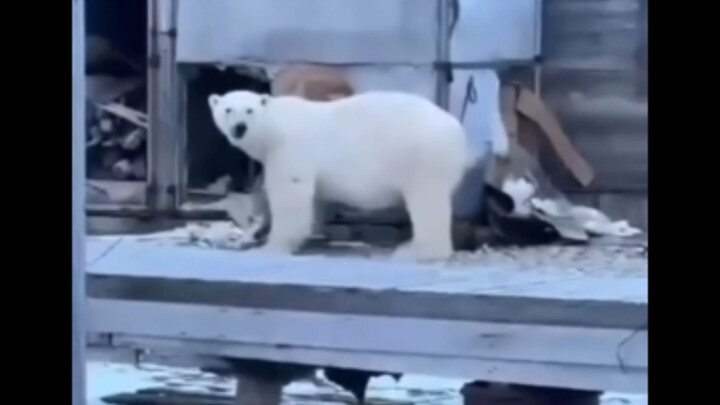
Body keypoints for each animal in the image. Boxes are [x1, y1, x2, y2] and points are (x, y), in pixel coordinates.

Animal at [208, 90, 476, 261]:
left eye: (249, 110)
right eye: (228, 109)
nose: (239, 128)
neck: (275, 126)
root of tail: (458, 131)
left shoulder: (289, 150)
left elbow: (291, 195)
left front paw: (271, 246)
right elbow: (314, 201)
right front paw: (313, 235)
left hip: (423, 157)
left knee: (427, 203)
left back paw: (414, 251)